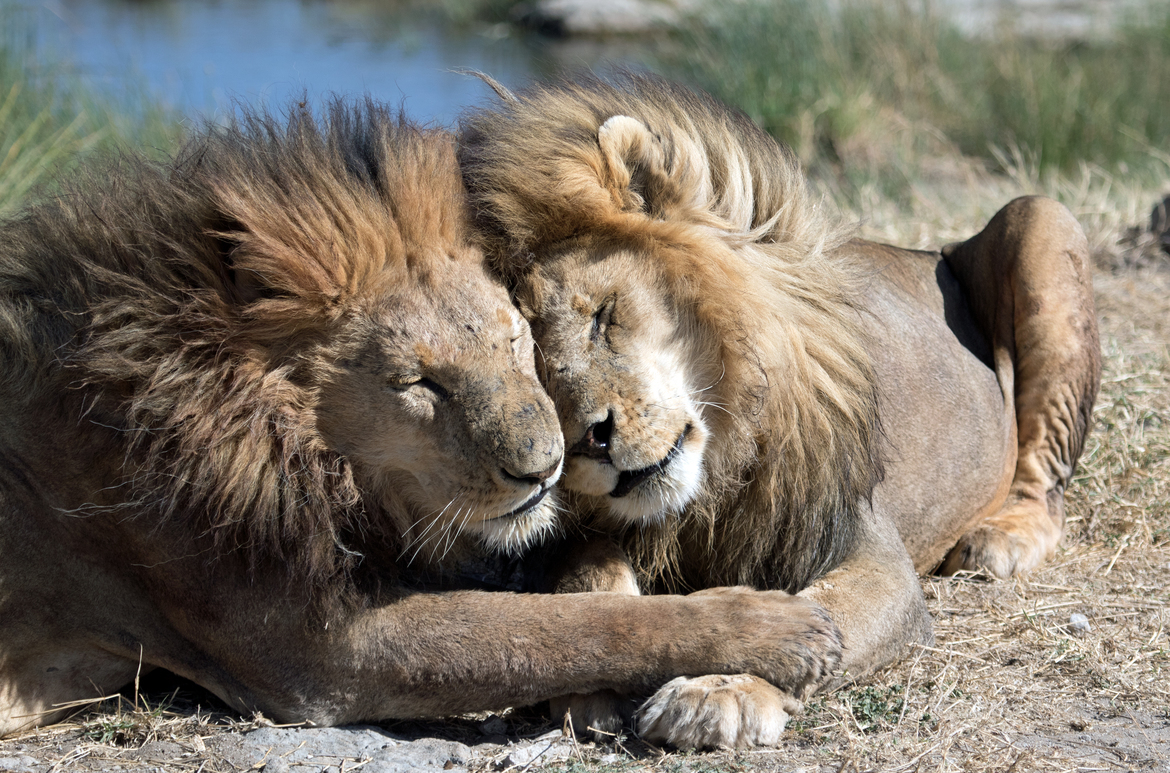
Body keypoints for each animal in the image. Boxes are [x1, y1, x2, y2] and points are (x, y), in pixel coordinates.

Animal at [0, 99, 844, 738]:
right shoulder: (318, 655)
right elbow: (559, 630)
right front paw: (777, 627)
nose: (547, 469)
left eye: (515, 339)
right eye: (420, 382)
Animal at [458, 73, 1101, 748]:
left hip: (1042, 218)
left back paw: (1000, 540)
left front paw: (719, 693)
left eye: (603, 315)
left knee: (1046, 475)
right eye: (536, 373)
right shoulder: (593, 538)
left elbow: (824, 619)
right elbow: (585, 583)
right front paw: (601, 668)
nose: (591, 443)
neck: (719, 464)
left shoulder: (868, 550)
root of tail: (930, 249)